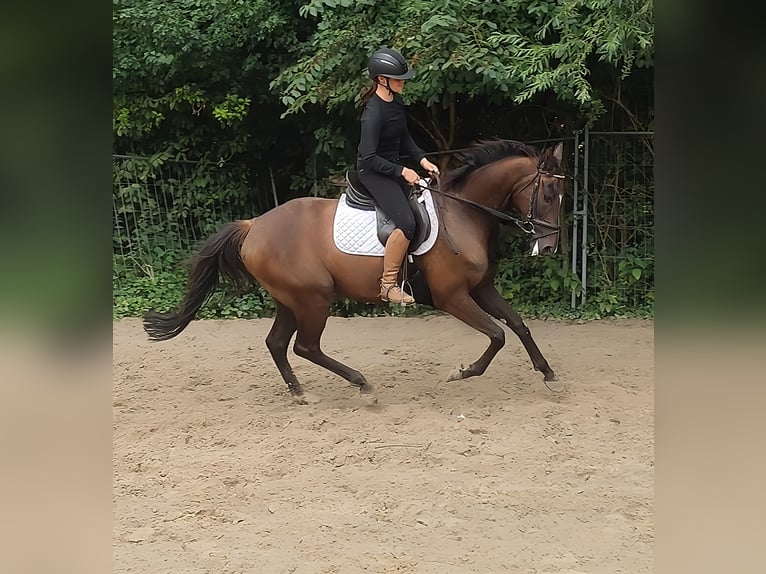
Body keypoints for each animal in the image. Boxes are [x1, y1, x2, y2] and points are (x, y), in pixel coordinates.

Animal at [143, 139, 567, 404]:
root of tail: (255, 225)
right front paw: (462, 372)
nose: (548, 247)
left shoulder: (481, 288)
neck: (463, 212)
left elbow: (518, 326)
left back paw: (301, 394)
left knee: (277, 343)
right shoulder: (454, 297)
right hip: (313, 298)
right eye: (548, 193)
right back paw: (363, 386)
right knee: (305, 346)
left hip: (290, 300)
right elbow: (497, 334)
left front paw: (548, 374)